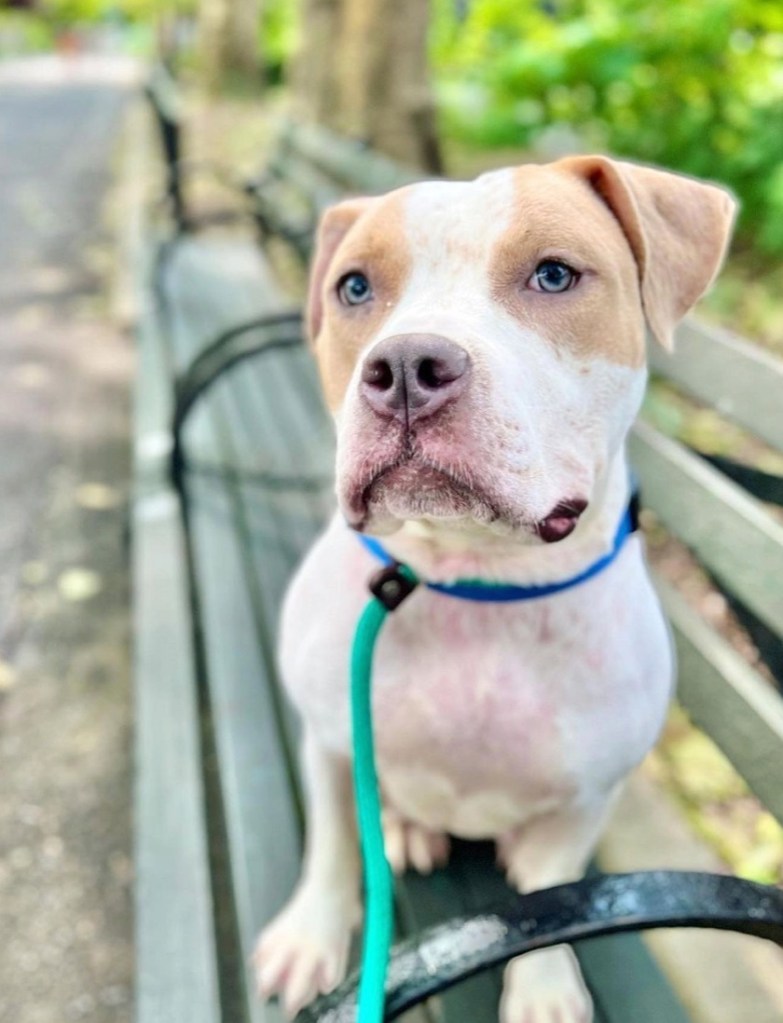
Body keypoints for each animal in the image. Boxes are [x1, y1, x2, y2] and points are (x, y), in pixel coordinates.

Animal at [253, 153, 736, 1023]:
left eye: (553, 275)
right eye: (353, 287)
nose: (405, 369)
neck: (470, 582)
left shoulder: (585, 796)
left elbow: (549, 896)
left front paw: (542, 987)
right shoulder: (330, 739)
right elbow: (334, 845)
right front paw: (310, 934)